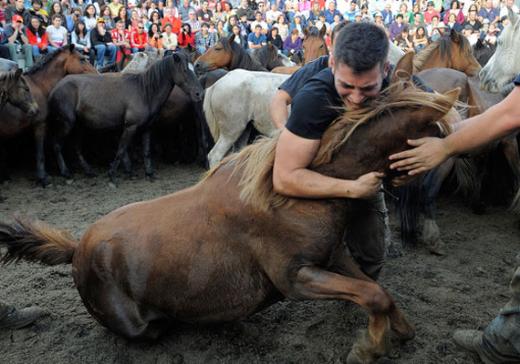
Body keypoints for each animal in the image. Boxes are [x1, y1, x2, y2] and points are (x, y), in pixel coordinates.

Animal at [0, 45, 97, 185]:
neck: (40, 85)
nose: (97, 74)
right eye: (82, 59)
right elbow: (41, 151)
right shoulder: (40, 124)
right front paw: (44, 177)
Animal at [0, 82, 460, 364]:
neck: (296, 190)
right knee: (154, 329)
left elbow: (376, 290)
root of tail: (76, 247)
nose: (443, 189)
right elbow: (372, 295)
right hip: (138, 326)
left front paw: (401, 332)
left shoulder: (333, 257)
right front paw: (369, 347)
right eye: (438, 134)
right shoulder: (296, 277)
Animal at [48, 52, 203, 183]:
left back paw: (88, 171)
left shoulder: (147, 128)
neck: (144, 91)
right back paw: (66, 173)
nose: (199, 94)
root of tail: (57, 87)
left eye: (194, 70)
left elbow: (146, 152)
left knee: (76, 148)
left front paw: (149, 173)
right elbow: (121, 149)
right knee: (56, 145)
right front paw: (112, 175)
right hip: (67, 124)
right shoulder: (130, 127)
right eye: (184, 70)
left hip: (79, 126)